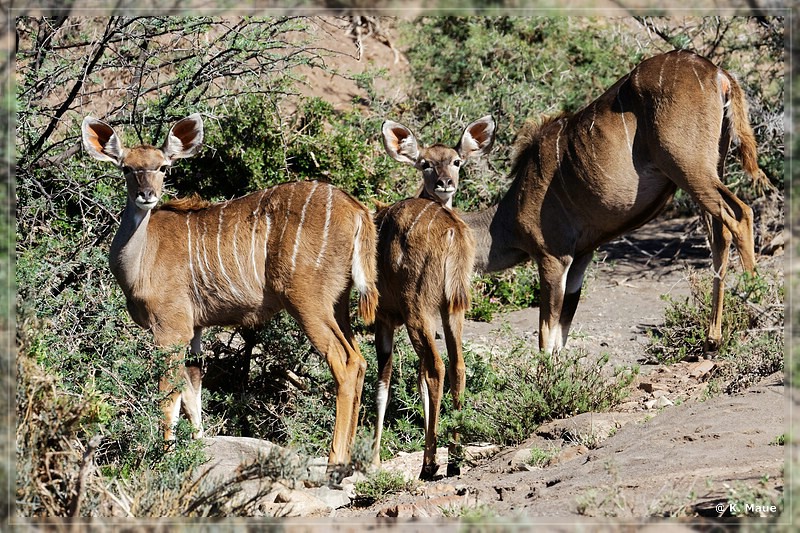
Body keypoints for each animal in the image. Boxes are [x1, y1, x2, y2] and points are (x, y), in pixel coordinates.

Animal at [81, 113, 378, 466]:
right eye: (127, 168)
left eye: (163, 167)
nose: (146, 194)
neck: (142, 254)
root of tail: (357, 210)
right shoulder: (194, 329)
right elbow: (192, 391)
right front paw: (197, 446)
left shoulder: (170, 328)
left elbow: (169, 394)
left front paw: (165, 456)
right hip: (338, 303)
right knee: (360, 360)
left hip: (307, 301)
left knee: (344, 362)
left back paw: (336, 458)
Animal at [374, 115, 494, 478]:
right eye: (425, 163)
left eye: (457, 161)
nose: (445, 184)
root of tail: (452, 233)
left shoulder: (385, 316)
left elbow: (383, 383)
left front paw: (371, 459)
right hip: (452, 304)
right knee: (456, 365)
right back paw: (454, 458)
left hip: (416, 304)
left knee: (436, 367)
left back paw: (430, 463)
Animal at [460, 50, 764, 356]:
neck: (508, 215)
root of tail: (719, 75)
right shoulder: (581, 257)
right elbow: (561, 333)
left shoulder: (553, 257)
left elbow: (546, 336)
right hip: (713, 167)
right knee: (721, 233)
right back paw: (713, 338)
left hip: (689, 168)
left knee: (741, 214)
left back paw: (757, 313)